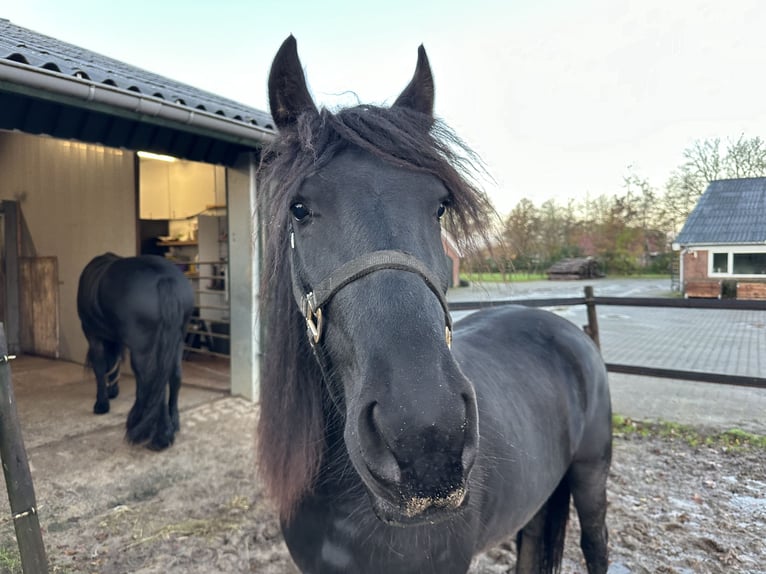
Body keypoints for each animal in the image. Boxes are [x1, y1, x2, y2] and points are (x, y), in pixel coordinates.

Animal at [77, 254, 195, 452]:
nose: (112, 392)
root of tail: (164, 277)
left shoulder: (93, 335)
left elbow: (100, 367)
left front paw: (102, 403)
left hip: (144, 349)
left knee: (154, 380)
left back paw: (157, 435)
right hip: (177, 342)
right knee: (173, 376)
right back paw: (171, 423)